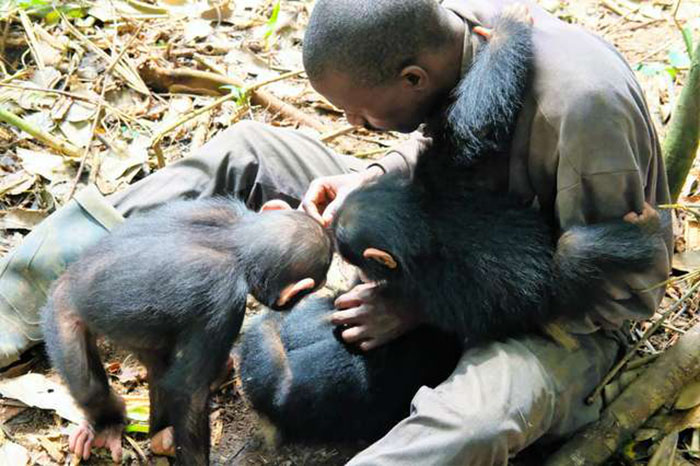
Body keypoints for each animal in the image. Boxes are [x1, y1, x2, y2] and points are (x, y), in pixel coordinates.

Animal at [41, 198, 334, 466]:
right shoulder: (223, 302)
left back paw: (159, 436)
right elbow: (189, 392)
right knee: (89, 387)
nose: (301, 299)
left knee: (156, 365)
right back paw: (108, 426)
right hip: (61, 315)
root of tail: (61, 285)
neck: (237, 242)